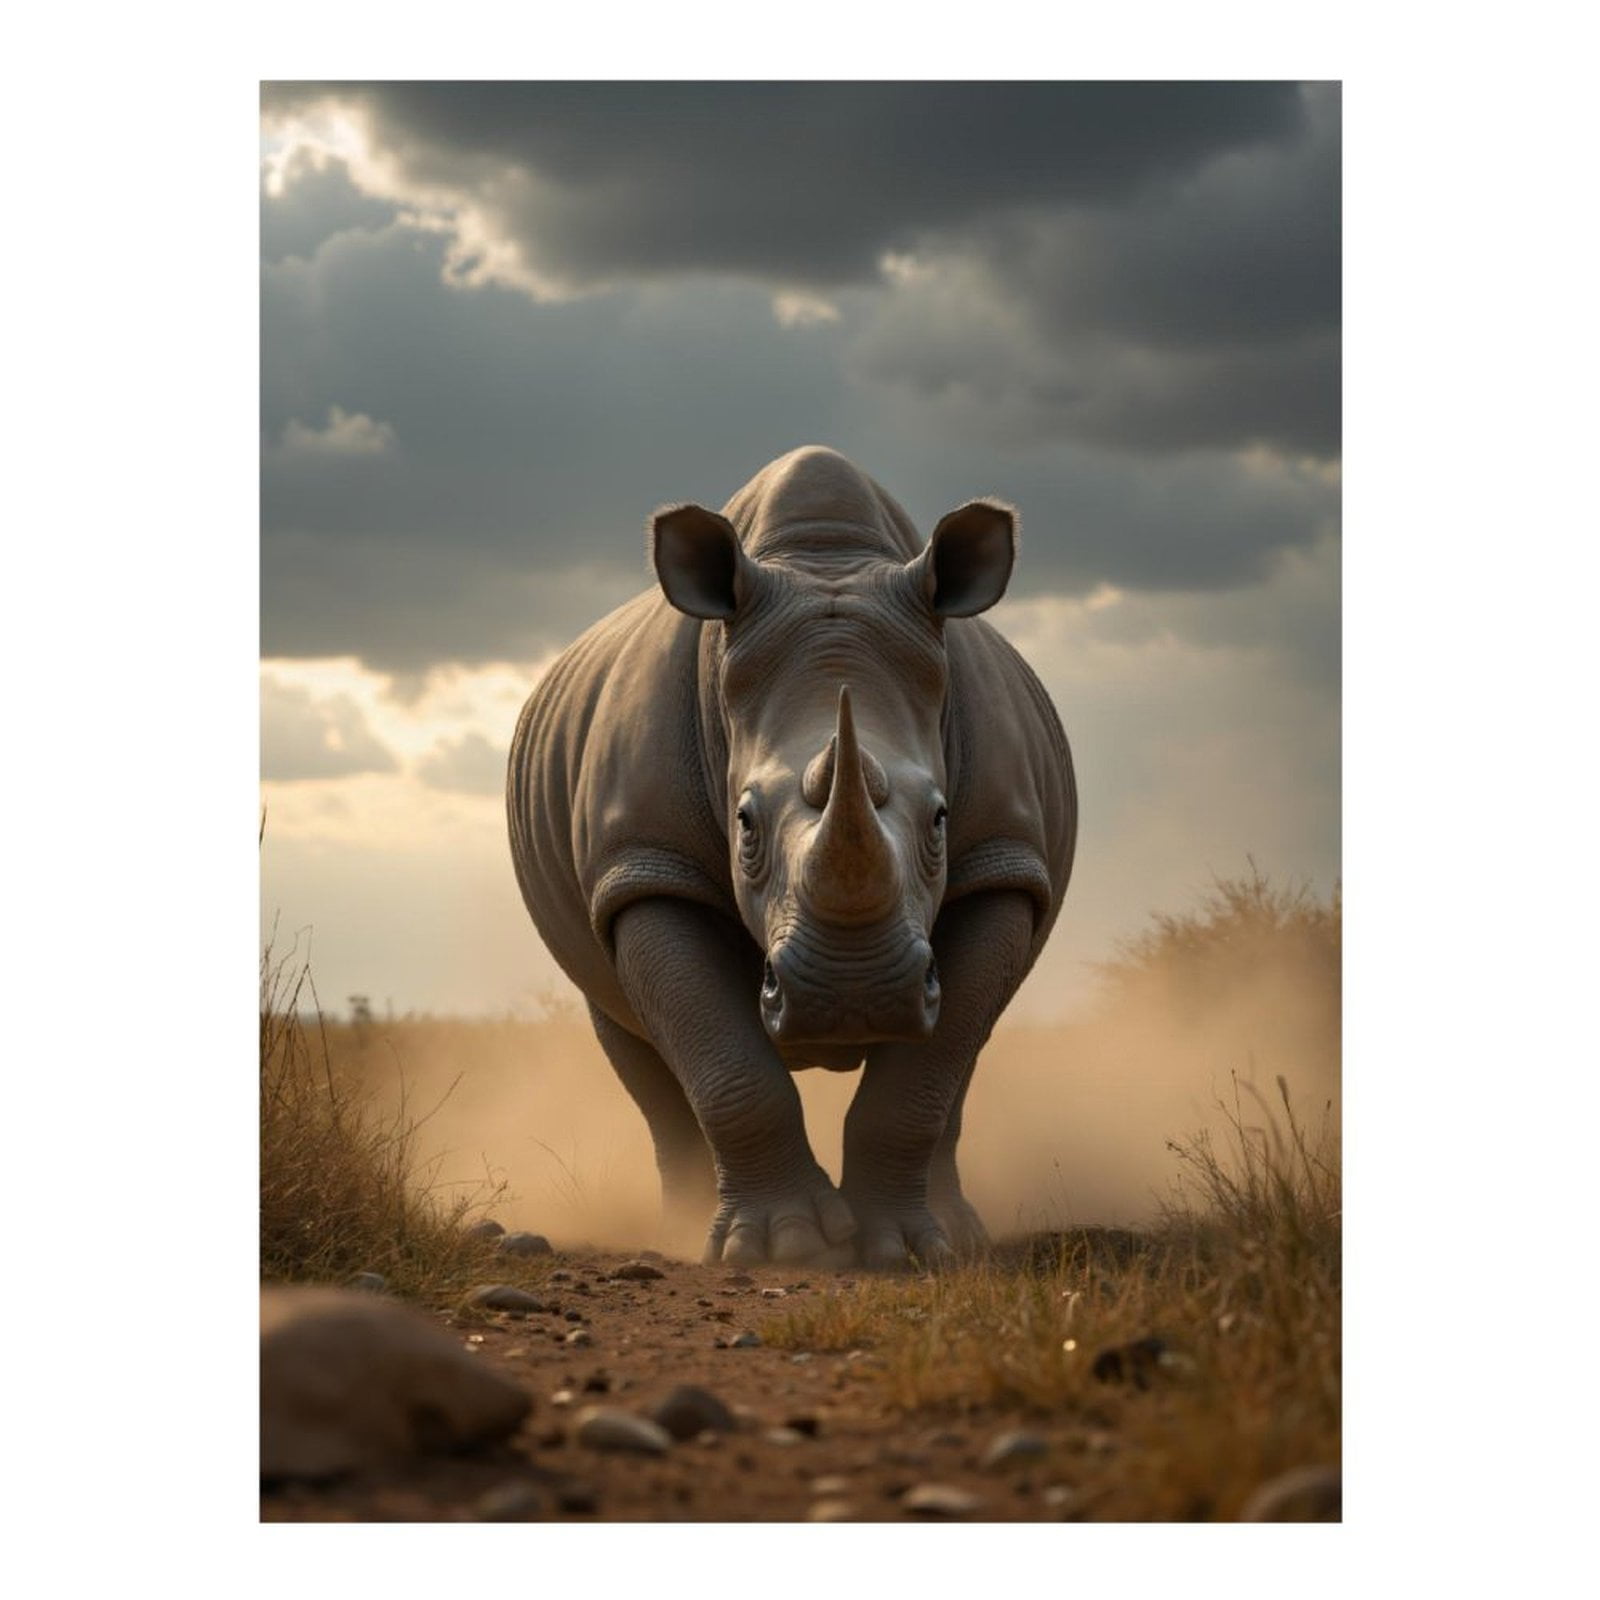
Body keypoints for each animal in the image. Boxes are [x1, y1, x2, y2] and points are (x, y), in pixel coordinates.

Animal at [507, 446, 1076, 1268]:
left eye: (941, 820)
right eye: (743, 825)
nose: (853, 997)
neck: (822, 561)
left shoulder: (1001, 861)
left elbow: (923, 1079)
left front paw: (902, 1250)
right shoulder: (647, 866)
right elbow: (727, 1067)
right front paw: (783, 1247)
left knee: (964, 1050)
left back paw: (958, 1233)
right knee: (632, 1038)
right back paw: (677, 1230)